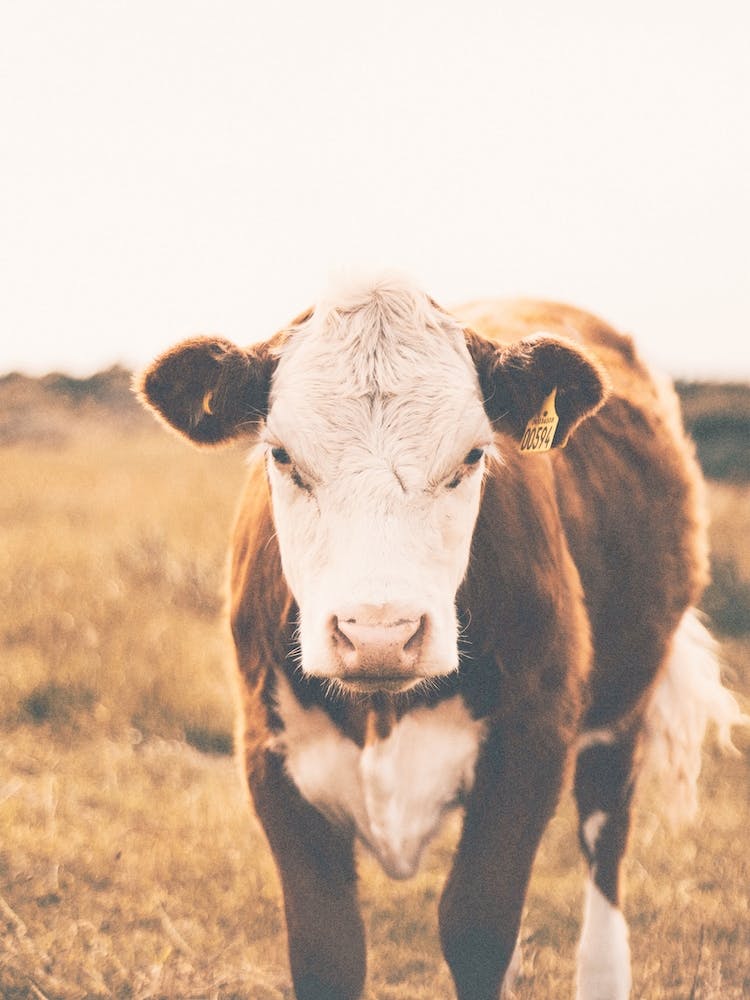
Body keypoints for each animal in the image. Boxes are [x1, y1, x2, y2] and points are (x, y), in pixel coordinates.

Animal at [138, 275, 745, 1000]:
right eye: (280, 455)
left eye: (472, 456)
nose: (378, 634)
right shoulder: (269, 753)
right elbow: (327, 950)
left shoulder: (532, 743)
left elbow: (477, 926)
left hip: (624, 705)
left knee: (605, 842)